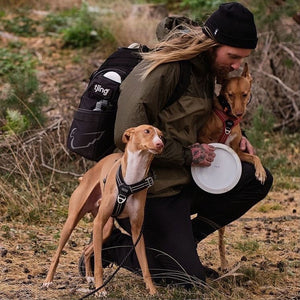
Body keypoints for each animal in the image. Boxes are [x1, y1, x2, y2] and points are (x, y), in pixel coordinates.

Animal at [42, 124, 164, 296]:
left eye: (161, 135)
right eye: (147, 131)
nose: (160, 144)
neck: (131, 180)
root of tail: (85, 175)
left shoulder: (136, 230)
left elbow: (145, 265)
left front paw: (152, 290)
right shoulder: (99, 222)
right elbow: (99, 265)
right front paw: (101, 289)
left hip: (105, 229)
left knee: (87, 250)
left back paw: (89, 276)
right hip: (75, 221)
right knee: (58, 254)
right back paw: (48, 280)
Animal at [198, 62, 266, 270]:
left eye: (244, 94)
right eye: (229, 94)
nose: (238, 113)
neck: (228, 120)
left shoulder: (237, 150)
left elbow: (255, 157)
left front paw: (260, 172)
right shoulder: (203, 137)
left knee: (220, 237)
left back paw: (224, 263)